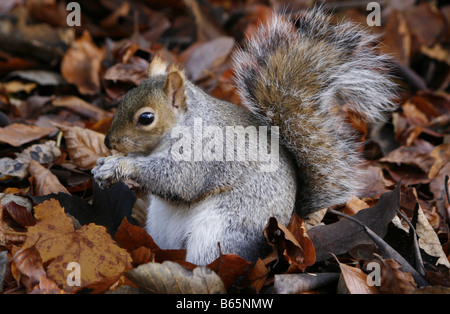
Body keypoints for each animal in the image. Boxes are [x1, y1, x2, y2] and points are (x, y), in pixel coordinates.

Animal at [92, 7, 398, 264]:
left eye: (146, 118)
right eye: (123, 98)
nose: (109, 142)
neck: (186, 124)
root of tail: (289, 223)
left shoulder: (203, 152)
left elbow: (178, 180)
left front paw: (122, 165)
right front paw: (103, 164)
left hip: (222, 227)